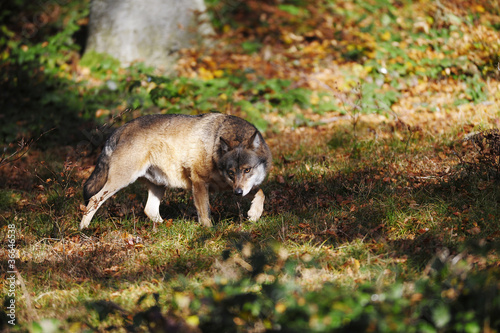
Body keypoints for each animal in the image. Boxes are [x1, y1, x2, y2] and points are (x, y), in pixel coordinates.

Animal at [79, 112, 272, 228]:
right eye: (231, 172)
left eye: (247, 170)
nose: (238, 193)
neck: (214, 150)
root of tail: (122, 127)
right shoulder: (199, 181)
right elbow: (205, 213)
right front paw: (209, 232)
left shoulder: (237, 187)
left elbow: (261, 192)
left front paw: (254, 214)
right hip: (121, 181)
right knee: (94, 199)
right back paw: (84, 228)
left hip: (159, 185)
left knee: (150, 210)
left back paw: (167, 227)